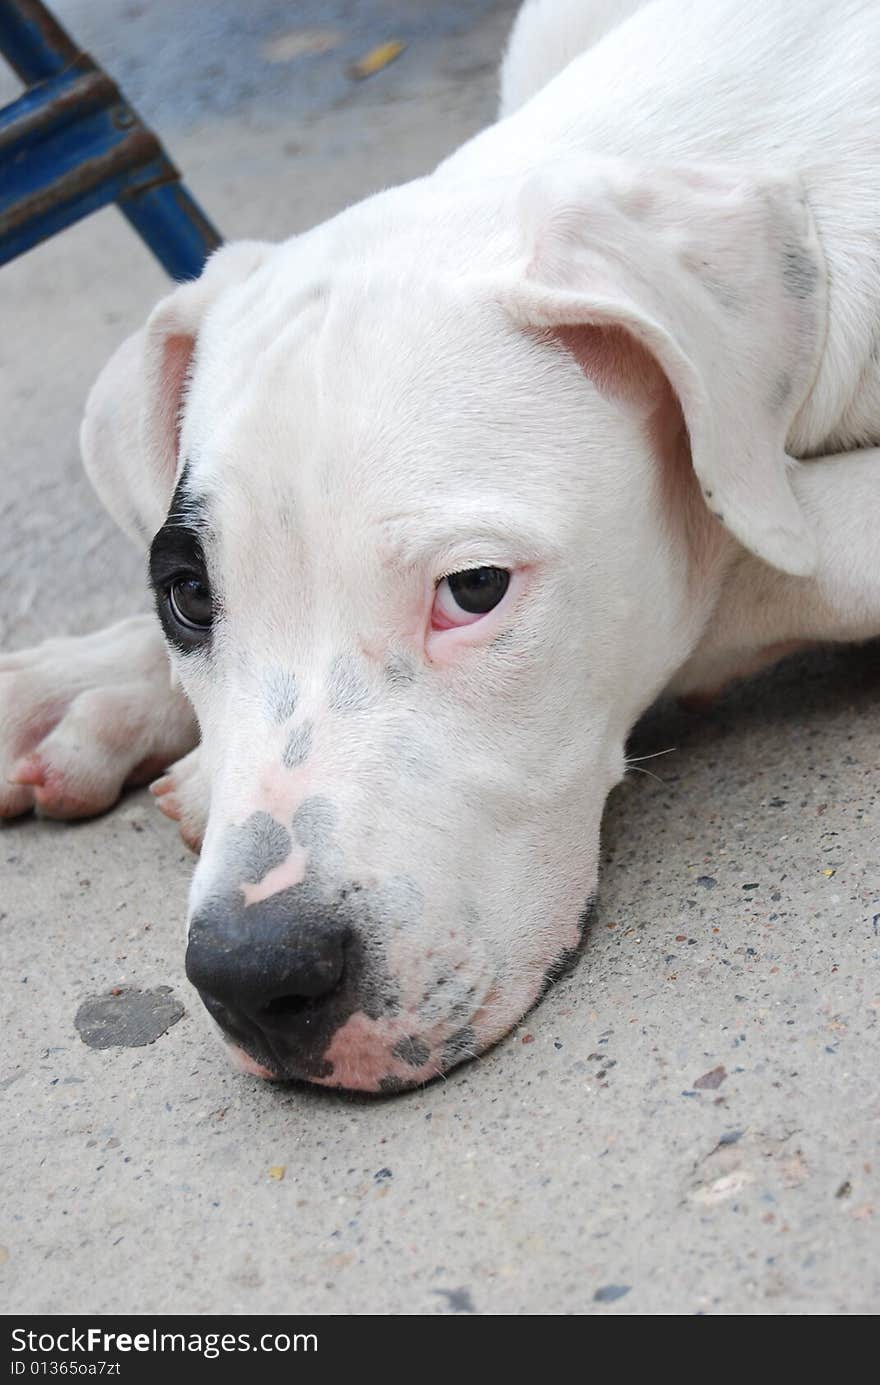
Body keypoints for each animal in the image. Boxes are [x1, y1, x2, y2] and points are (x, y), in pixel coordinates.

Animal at [1, 2, 880, 1091]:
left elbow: (740, 565)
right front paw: (81, 686)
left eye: (474, 588)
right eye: (188, 598)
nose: (253, 978)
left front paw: (187, 759)